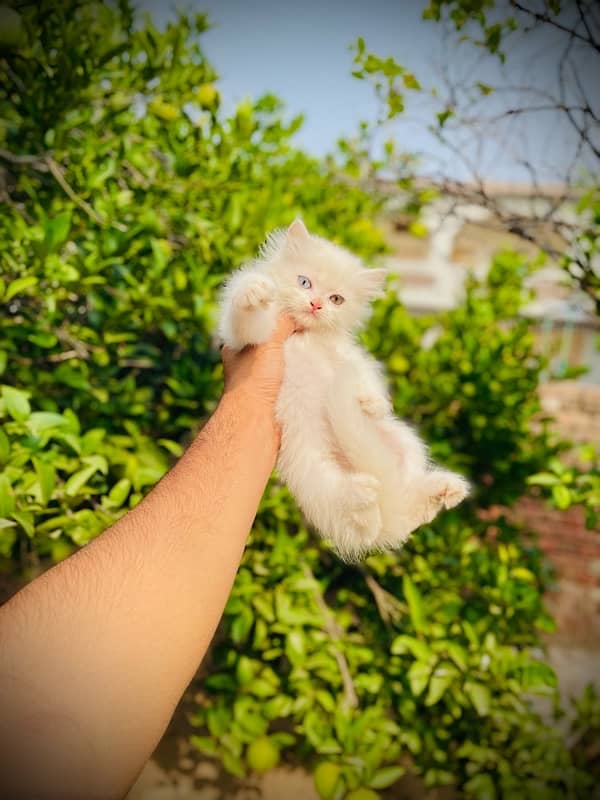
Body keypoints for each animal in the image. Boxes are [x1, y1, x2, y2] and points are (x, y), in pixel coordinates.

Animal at [218, 216, 472, 560]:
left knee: (404, 509)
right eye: (304, 282)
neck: (308, 333)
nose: (315, 305)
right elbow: (247, 319)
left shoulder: (348, 354)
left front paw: (373, 403)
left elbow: (366, 374)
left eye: (336, 299)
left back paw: (443, 490)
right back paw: (363, 496)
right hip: (311, 469)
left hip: (404, 443)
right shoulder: (249, 340)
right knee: (352, 519)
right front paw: (254, 291)